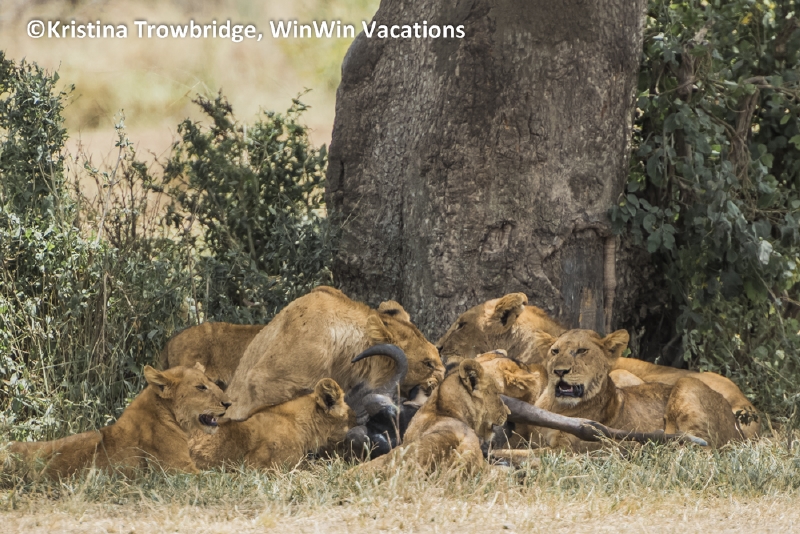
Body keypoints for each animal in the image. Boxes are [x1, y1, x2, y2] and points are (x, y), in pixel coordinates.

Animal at [533, 329, 742, 450]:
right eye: (554, 351)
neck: (557, 405)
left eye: (582, 351)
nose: (559, 371)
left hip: (686, 382)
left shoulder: (566, 448)